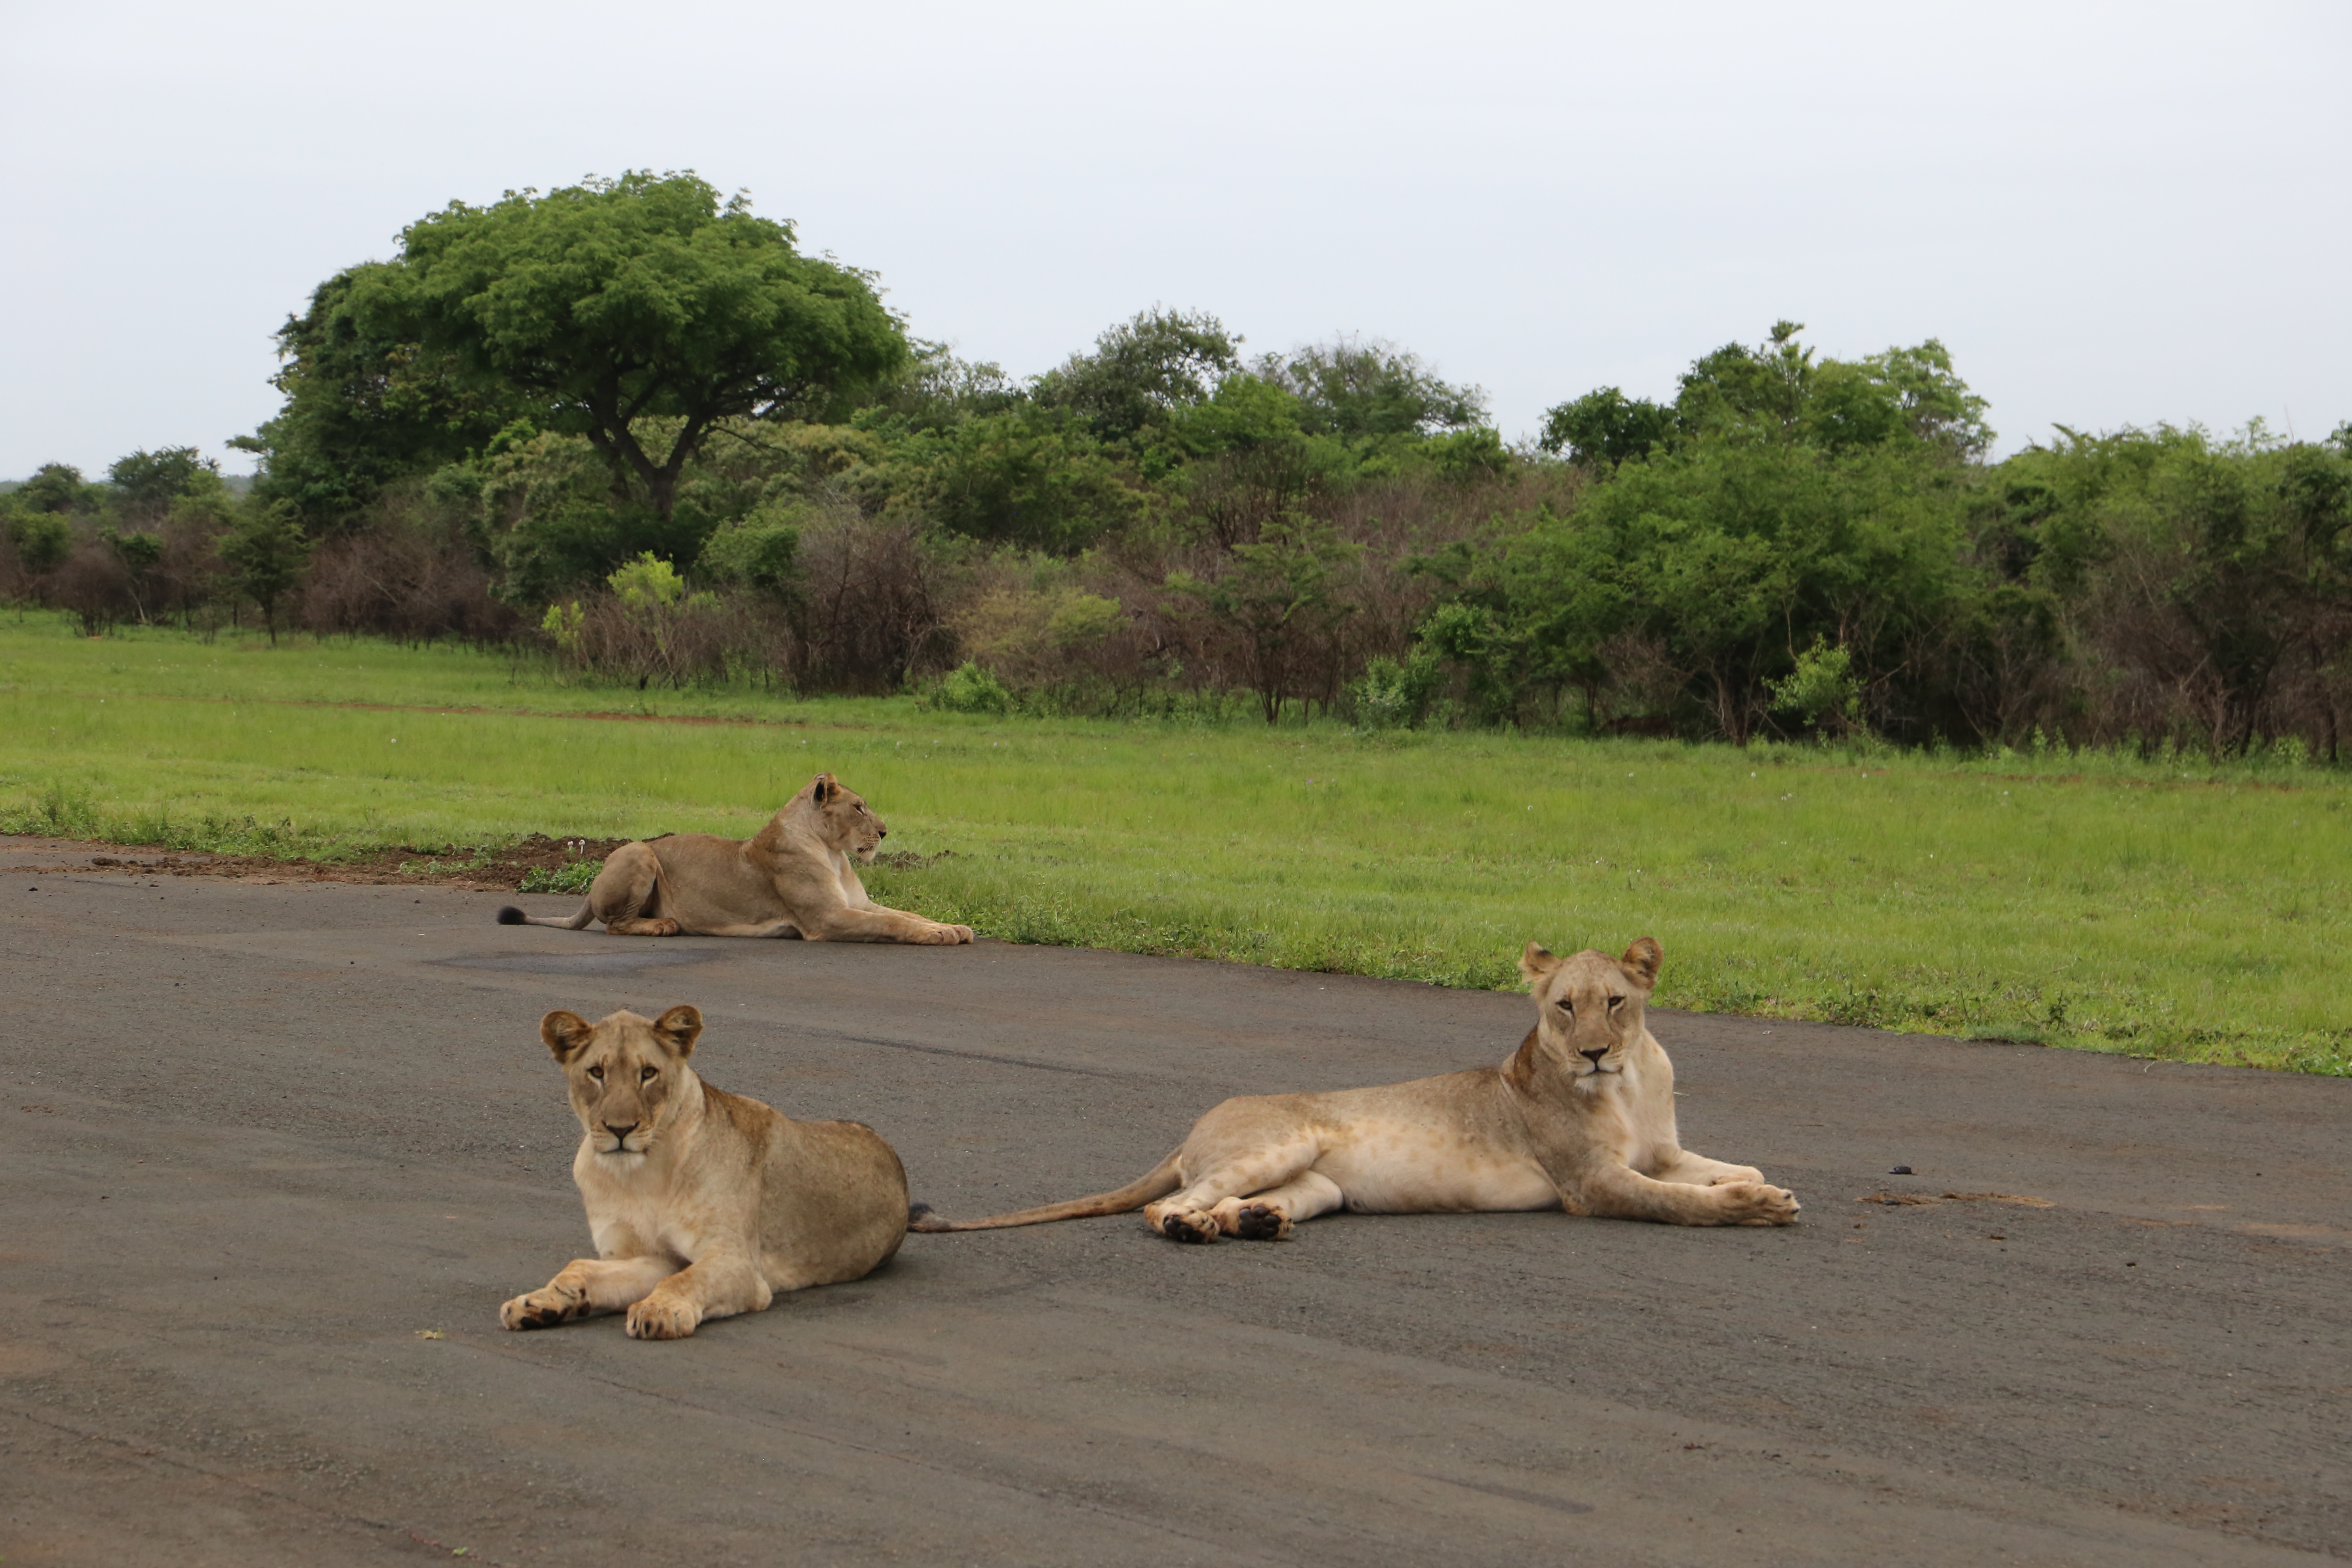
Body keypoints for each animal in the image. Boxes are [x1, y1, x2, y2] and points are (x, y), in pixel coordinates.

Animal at [496, 773, 973, 944]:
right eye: (859, 808)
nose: (885, 832)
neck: (834, 853)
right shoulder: (825, 919)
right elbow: (893, 924)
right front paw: (938, 936)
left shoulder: (859, 904)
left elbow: (907, 915)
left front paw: (954, 928)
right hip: (640, 851)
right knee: (614, 924)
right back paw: (664, 925)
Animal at [501, 1004, 914, 1339]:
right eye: (596, 1072)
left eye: (648, 1073)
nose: (621, 1130)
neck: (640, 1176)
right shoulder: (650, 1257)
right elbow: (583, 1269)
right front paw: (539, 1302)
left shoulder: (739, 1261)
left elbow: (687, 1279)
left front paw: (659, 1310)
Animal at [911, 937, 1798, 1241]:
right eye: (1562, 1006)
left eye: (1614, 1002)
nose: (1591, 1053)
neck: (1630, 1081)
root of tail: (1194, 1123)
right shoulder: (1591, 1181)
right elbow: (1677, 1200)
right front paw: (1756, 1207)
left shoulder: (1662, 1148)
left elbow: (1723, 1168)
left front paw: (1764, 1184)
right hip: (1283, 1139)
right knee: (1163, 1205)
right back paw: (1196, 1229)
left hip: (1319, 1185)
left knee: (1232, 1200)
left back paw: (1251, 1222)